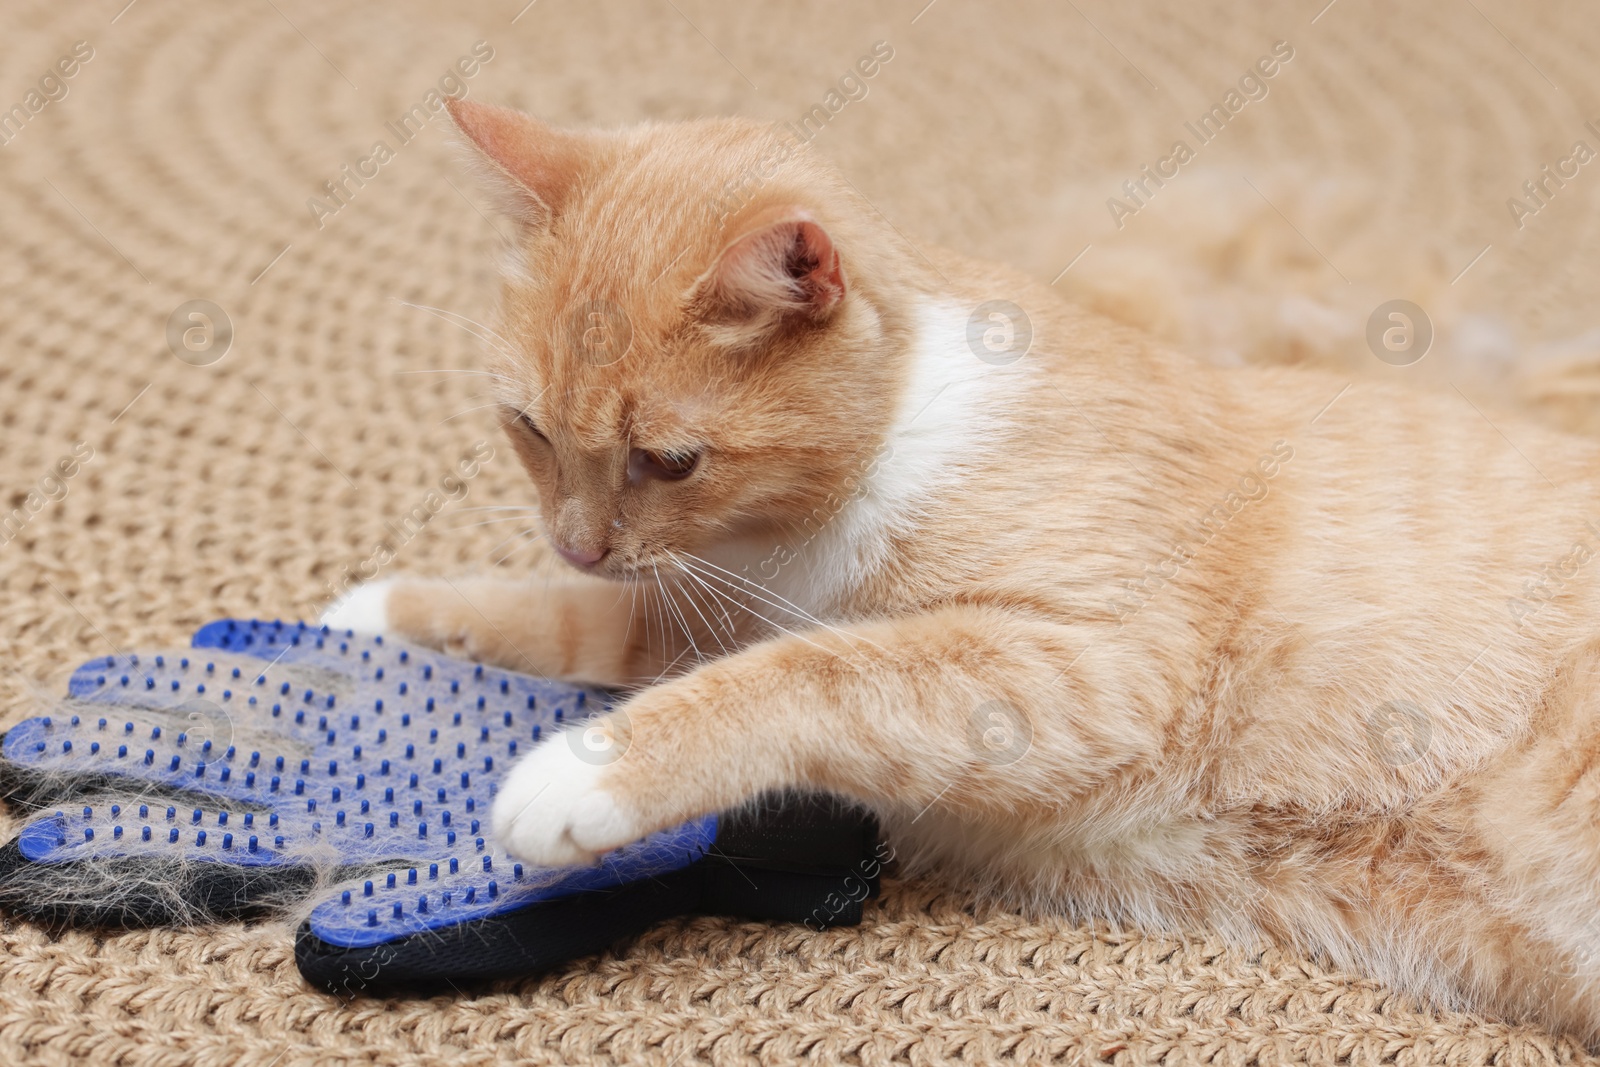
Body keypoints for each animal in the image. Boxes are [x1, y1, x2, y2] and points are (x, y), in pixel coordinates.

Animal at [321, 99, 1600, 1043]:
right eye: (529, 430)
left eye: (668, 459)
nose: (573, 535)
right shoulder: (714, 605)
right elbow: (587, 620)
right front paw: (375, 614)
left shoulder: (1089, 665)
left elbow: (812, 674)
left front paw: (582, 766)